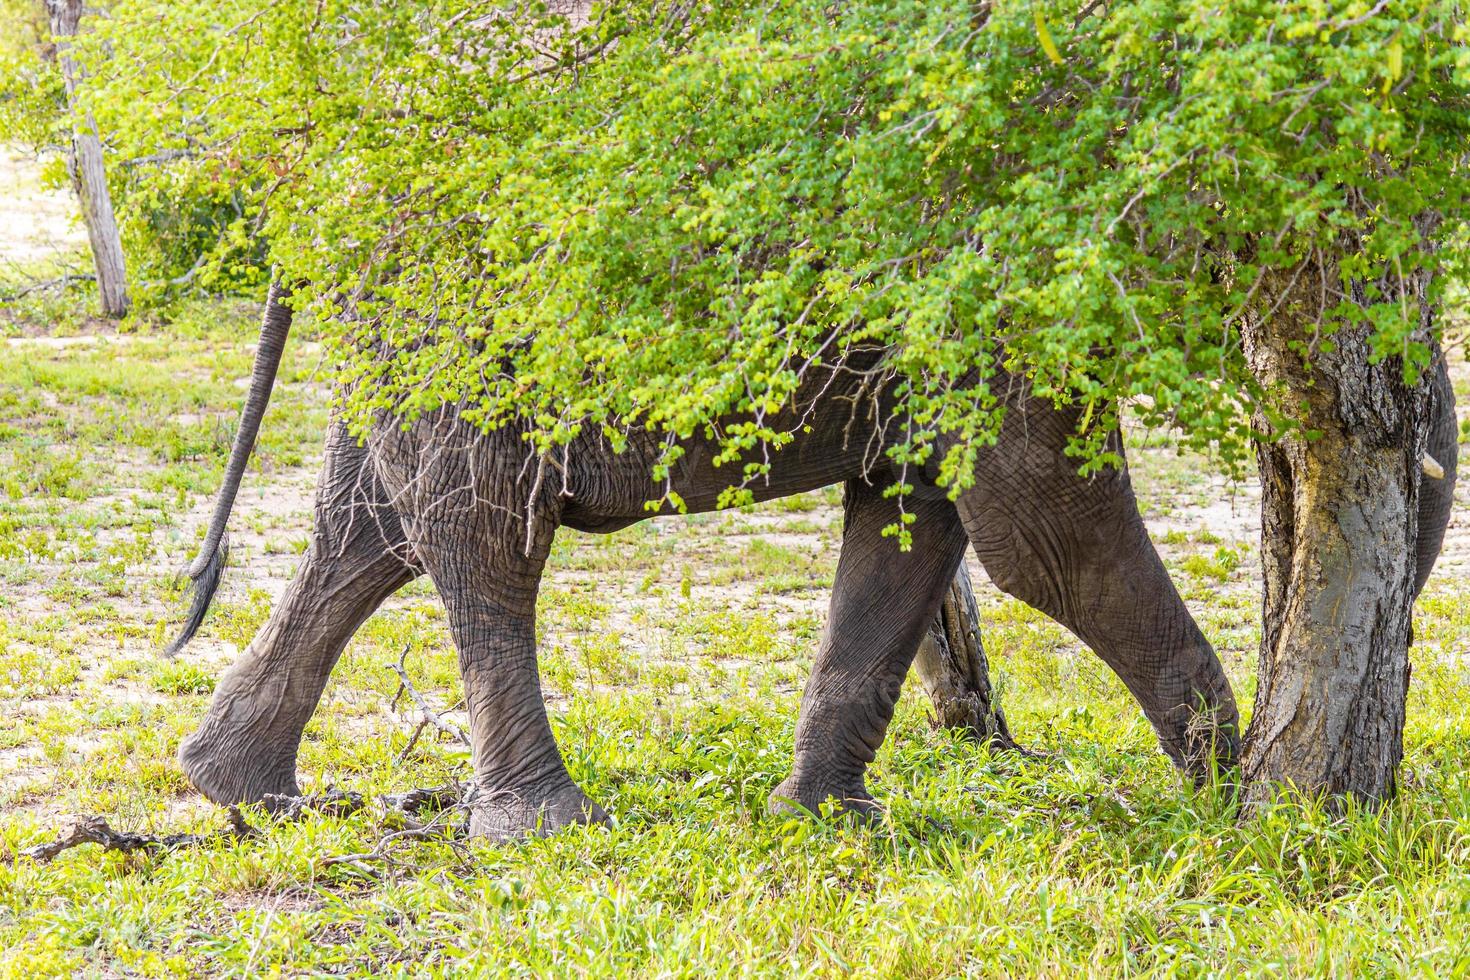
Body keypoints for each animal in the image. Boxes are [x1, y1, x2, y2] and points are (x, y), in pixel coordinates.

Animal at [166, 285, 1452, 846]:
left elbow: (915, 517)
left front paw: (824, 817)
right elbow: (1048, 534)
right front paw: (1237, 796)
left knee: (367, 528)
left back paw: (243, 792)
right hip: (463, 324)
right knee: (484, 535)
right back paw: (545, 826)